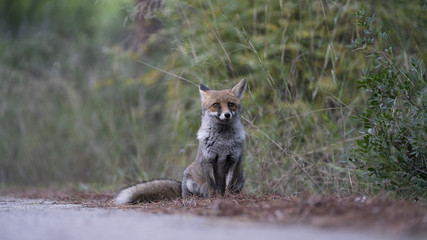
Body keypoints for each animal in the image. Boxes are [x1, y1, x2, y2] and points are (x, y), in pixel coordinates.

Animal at [114, 79, 247, 204]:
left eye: (231, 104)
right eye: (216, 104)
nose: (227, 114)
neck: (222, 143)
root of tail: (181, 187)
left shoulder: (233, 161)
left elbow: (228, 186)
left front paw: (228, 197)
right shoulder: (208, 161)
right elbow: (212, 185)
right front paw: (214, 198)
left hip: (241, 176)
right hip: (189, 180)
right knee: (189, 194)